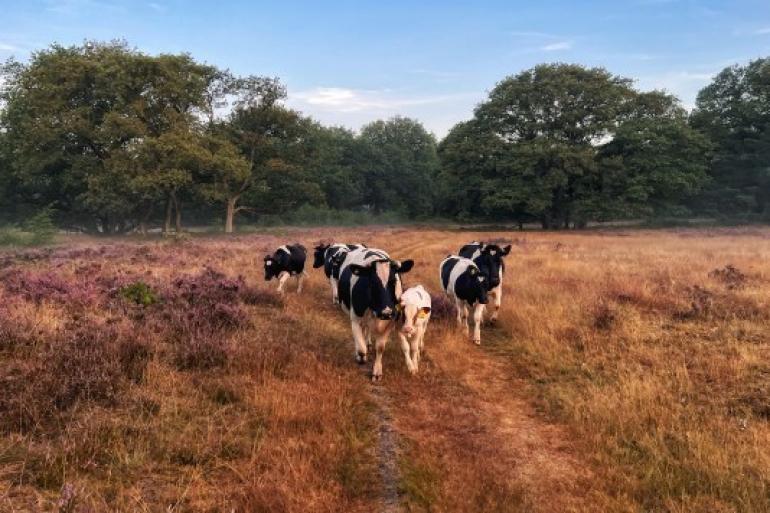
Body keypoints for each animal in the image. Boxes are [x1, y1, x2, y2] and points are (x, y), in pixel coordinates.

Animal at [338, 246, 414, 382]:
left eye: (394, 281)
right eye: (372, 283)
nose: (386, 312)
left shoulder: (390, 322)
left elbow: (380, 347)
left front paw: (377, 372)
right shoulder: (355, 319)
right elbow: (361, 348)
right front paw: (361, 357)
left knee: (367, 331)